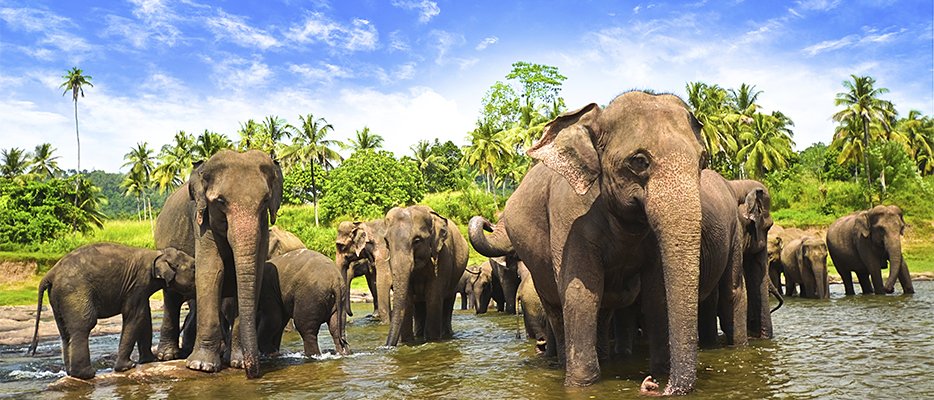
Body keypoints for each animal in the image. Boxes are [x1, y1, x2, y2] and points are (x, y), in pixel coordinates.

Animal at [26, 243, 195, 379]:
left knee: (64, 332)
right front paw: (127, 367)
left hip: (57, 298)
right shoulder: (137, 284)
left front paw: (149, 360)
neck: (157, 254)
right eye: (194, 268)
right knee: (83, 326)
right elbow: (136, 316)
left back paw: (71, 374)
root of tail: (50, 274)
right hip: (74, 292)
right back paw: (86, 375)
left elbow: (144, 317)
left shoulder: (140, 289)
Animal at [155, 149, 282, 378]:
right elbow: (212, 271)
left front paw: (237, 362)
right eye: (221, 201)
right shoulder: (201, 220)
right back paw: (167, 356)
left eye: (265, 201)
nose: (253, 373)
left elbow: (254, 274)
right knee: (171, 298)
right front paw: (201, 366)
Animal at [384, 205, 469, 346]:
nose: (387, 346)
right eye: (386, 241)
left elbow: (433, 297)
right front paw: (408, 342)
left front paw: (432, 340)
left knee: (447, 302)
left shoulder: (444, 256)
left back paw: (446, 334)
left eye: (417, 240)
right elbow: (407, 300)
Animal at [469, 92, 705, 395]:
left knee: (603, 309)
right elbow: (581, 292)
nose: (653, 385)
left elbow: (656, 293)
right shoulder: (569, 216)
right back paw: (560, 363)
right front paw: (581, 385)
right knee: (556, 308)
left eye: (703, 160)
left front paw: (661, 370)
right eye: (639, 161)